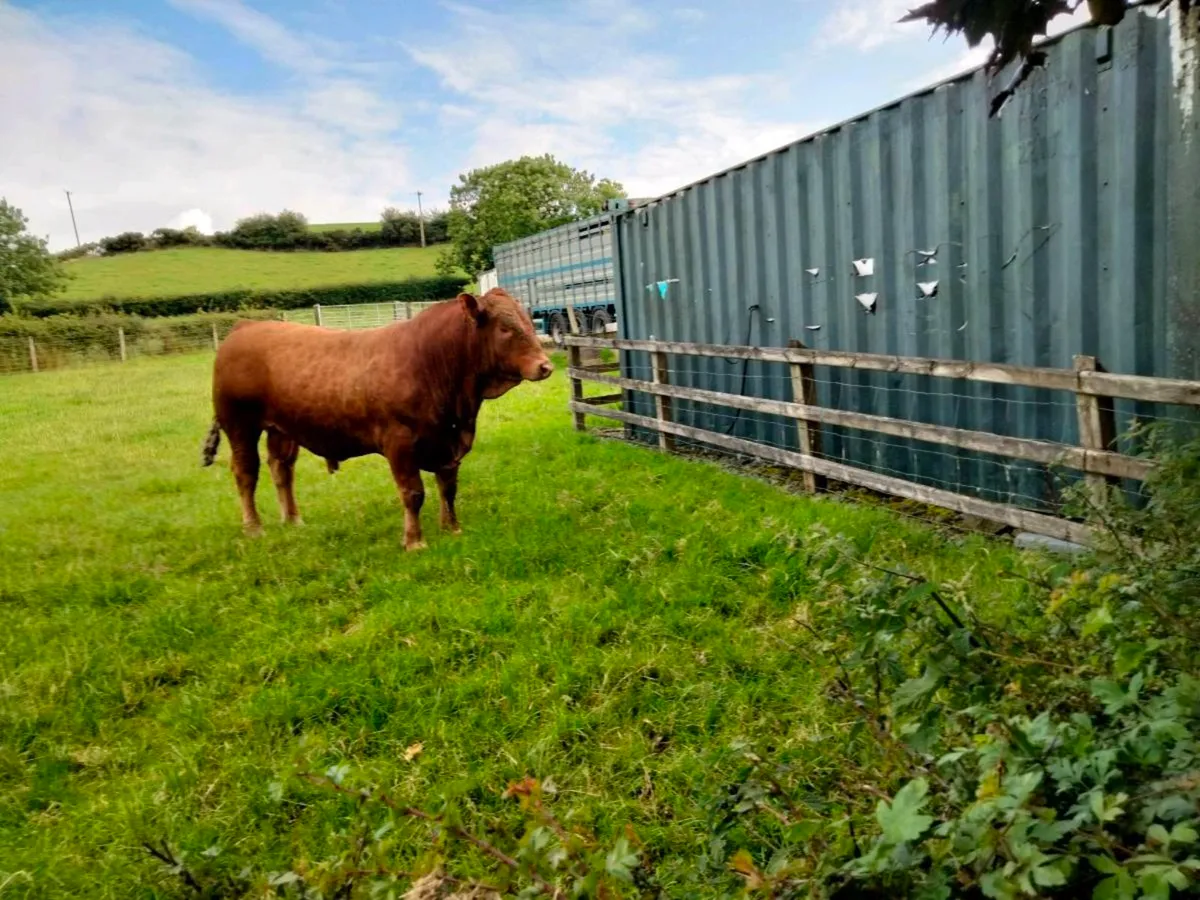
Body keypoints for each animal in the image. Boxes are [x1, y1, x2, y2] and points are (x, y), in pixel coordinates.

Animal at [200, 289, 552, 549]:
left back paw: (293, 520)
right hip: (240, 425)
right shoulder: (399, 442)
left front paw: (452, 527)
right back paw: (254, 528)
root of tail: (245, 327)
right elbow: (413, 493)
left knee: (281, 470)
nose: (545, 365)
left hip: (282, 429)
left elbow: (448, 487)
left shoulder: (450, 443)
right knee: (246, 473)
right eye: (505, 328)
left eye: (529, 322)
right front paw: (414, 541)